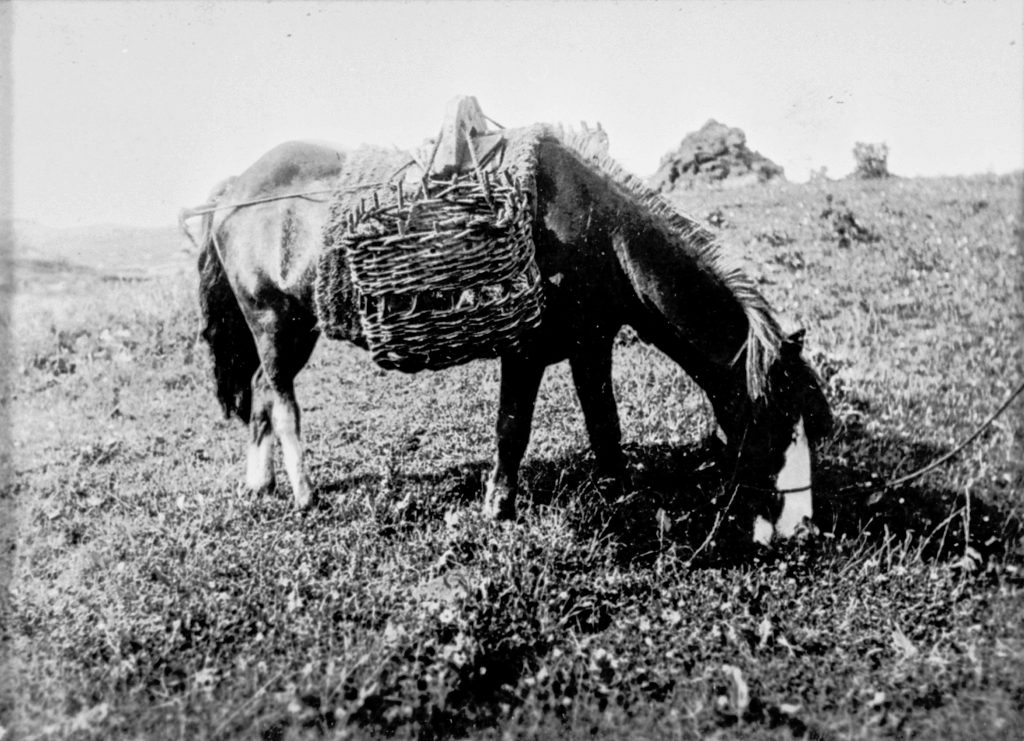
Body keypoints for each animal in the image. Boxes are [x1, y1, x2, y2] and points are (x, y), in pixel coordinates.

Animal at [188, 130, 831, 540]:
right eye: (776, 426)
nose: (802, 530)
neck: (598, 234)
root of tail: (233, 190)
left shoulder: (591, 346)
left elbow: (605, 427)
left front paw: (621, 493)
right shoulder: (525, 352)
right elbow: (511, 430)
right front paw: (498, 506)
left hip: (294, 329)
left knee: (261, 398)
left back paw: (260, 485)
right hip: (273, 322)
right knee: (282, 404)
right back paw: (303, 494)